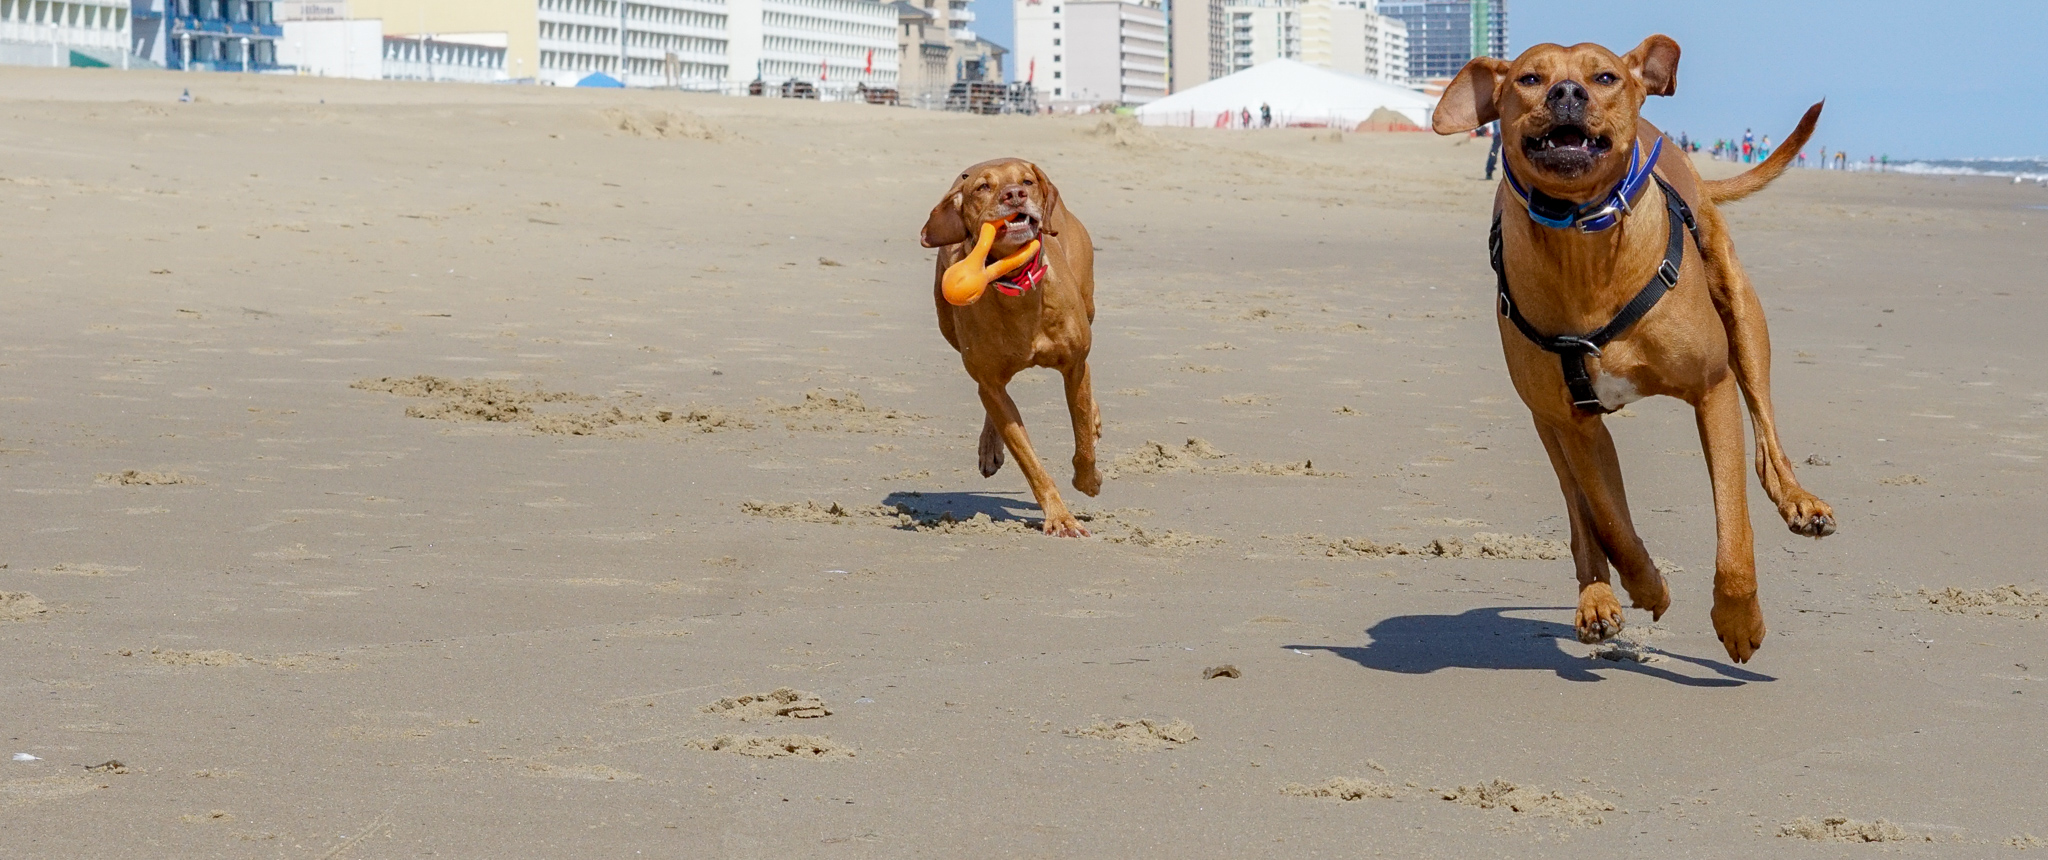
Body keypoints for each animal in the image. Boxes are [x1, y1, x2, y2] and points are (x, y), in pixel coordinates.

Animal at [917, 156, 1097, 536]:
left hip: (1088, 303)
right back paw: (989, 448)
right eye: (983, 187)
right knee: (992, 400)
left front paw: (1089, 480)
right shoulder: (990, 381)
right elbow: (1028, 460)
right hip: (953, 334)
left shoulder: (1075, 366)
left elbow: (1083, 435)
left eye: (1026, 181)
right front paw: (1060, 518)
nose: (1014, 194)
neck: (1017, 286)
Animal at [1441, 36, 1843, 663]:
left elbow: (1733, 526)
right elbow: (1611, 519)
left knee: (1765, 431)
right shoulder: (1576, 422)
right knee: (1580, 514)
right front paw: (1648, 585)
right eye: (1530, 78)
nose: (1567, 92)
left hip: (1743, 317)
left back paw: (1799, 502)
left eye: (1604, 76)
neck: (1583, 243)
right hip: (1543, 418)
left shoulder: (1712, 389)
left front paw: (1739, 619)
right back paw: (1597, 598)